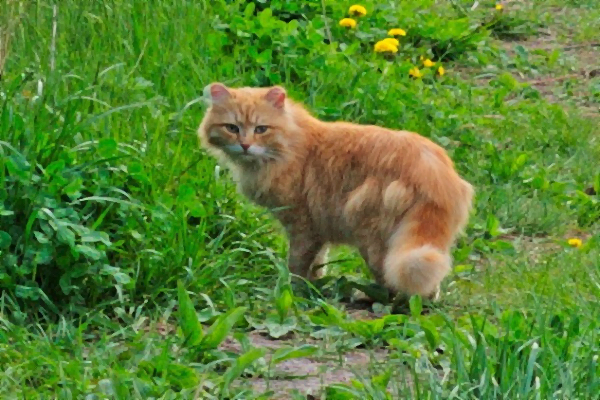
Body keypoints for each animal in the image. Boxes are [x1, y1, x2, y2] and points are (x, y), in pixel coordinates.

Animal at [198, 83, 474, 298]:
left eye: (260, 129)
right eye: (232, 128)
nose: (245, 145)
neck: (293, 144)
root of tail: (432, 175)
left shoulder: (301, 225)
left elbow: (297, 264)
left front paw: (293, 290)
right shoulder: (318, 231)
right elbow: (318, 264)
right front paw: (314, 287)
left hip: (372, 237)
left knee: (398, 286)